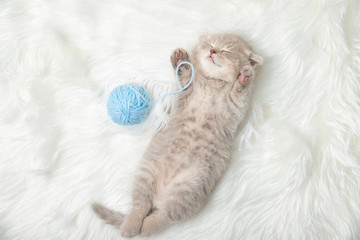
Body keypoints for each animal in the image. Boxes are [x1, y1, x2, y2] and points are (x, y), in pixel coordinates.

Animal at [91, 33, 262, 238]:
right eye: (211, 44)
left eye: (226, 50)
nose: (213, 51)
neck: (212, 82)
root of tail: (160, 197)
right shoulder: (185, 93)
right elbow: (185, 75)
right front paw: (181, 60)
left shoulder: (233, 108)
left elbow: (239, 94)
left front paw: (244, 77)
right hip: (146, 173)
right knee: (141, 206)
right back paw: (131, 224)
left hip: (188, 189)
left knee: (164, 217)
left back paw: (141, 227)